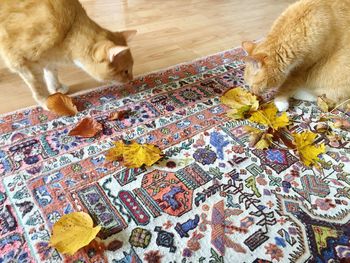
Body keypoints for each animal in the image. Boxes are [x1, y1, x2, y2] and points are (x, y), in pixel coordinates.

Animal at [0, 0, 136, 109]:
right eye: (126, 71)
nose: (131, 79)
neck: (69, 29)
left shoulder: (47, 57)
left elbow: (51, 71)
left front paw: (56, 87)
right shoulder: (21, 61)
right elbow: (38, 86)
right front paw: (46, 101)